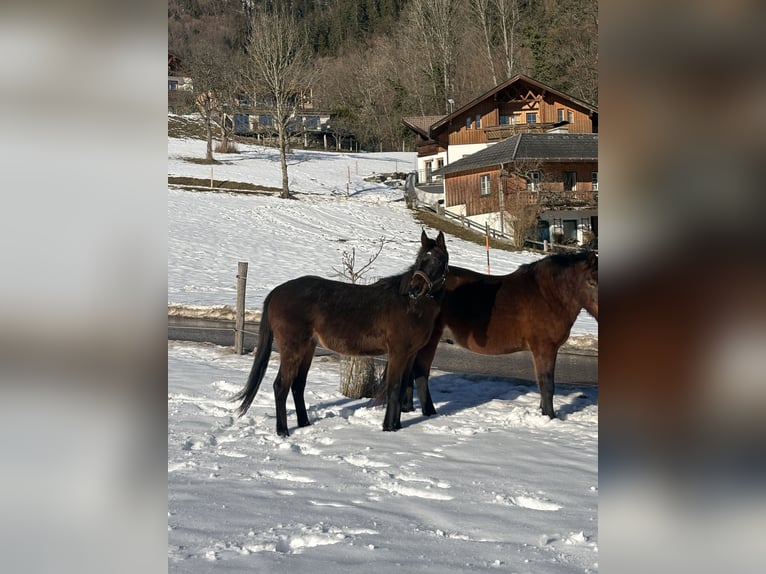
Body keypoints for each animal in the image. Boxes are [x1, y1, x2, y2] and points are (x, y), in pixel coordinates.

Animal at [232, 230, 449, 436]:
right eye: (420, 259)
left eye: (438, 260)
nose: (415, 288)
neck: (410, 305)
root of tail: (277, 292)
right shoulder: (398, 353)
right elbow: (394, 388)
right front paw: (389, 427)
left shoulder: (410, 354)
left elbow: (403, 385)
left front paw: (396, 426)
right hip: (292, 348)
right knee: (281, 386)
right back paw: (283, 431)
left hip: (308, 347)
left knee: (298, 384)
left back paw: (304, 424)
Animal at [403, 250, 598, 419]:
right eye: (592, 282)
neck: (547, 295)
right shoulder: (544, 348)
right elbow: (547, 385)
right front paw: (550, 417)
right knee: (420, 371)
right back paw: (429, 411)